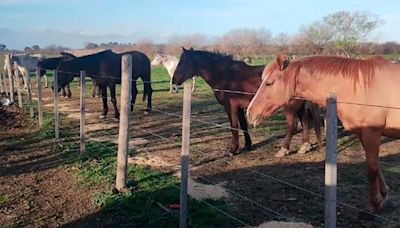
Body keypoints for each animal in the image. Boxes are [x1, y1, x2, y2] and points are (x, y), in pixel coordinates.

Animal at [172, 47, 322, 156]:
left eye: (182, 62)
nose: (174, 80)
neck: (225, 75)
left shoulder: (230, 107)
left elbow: (233, 126)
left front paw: (233, 150)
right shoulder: (240, 107)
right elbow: (243, 125)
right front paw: (247, 145)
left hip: (291, 106)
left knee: (292, 125)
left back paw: (284, 150)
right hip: (299, 105)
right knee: (305, 122)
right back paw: (305, 146)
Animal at [247, 54, 400, 214]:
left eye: (269, 83)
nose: (250, 113)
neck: (360, 89)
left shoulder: (371, 133)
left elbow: (372, 168)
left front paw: (375, 203)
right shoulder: (363, 133)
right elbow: (376, 166)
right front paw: (384, 194)